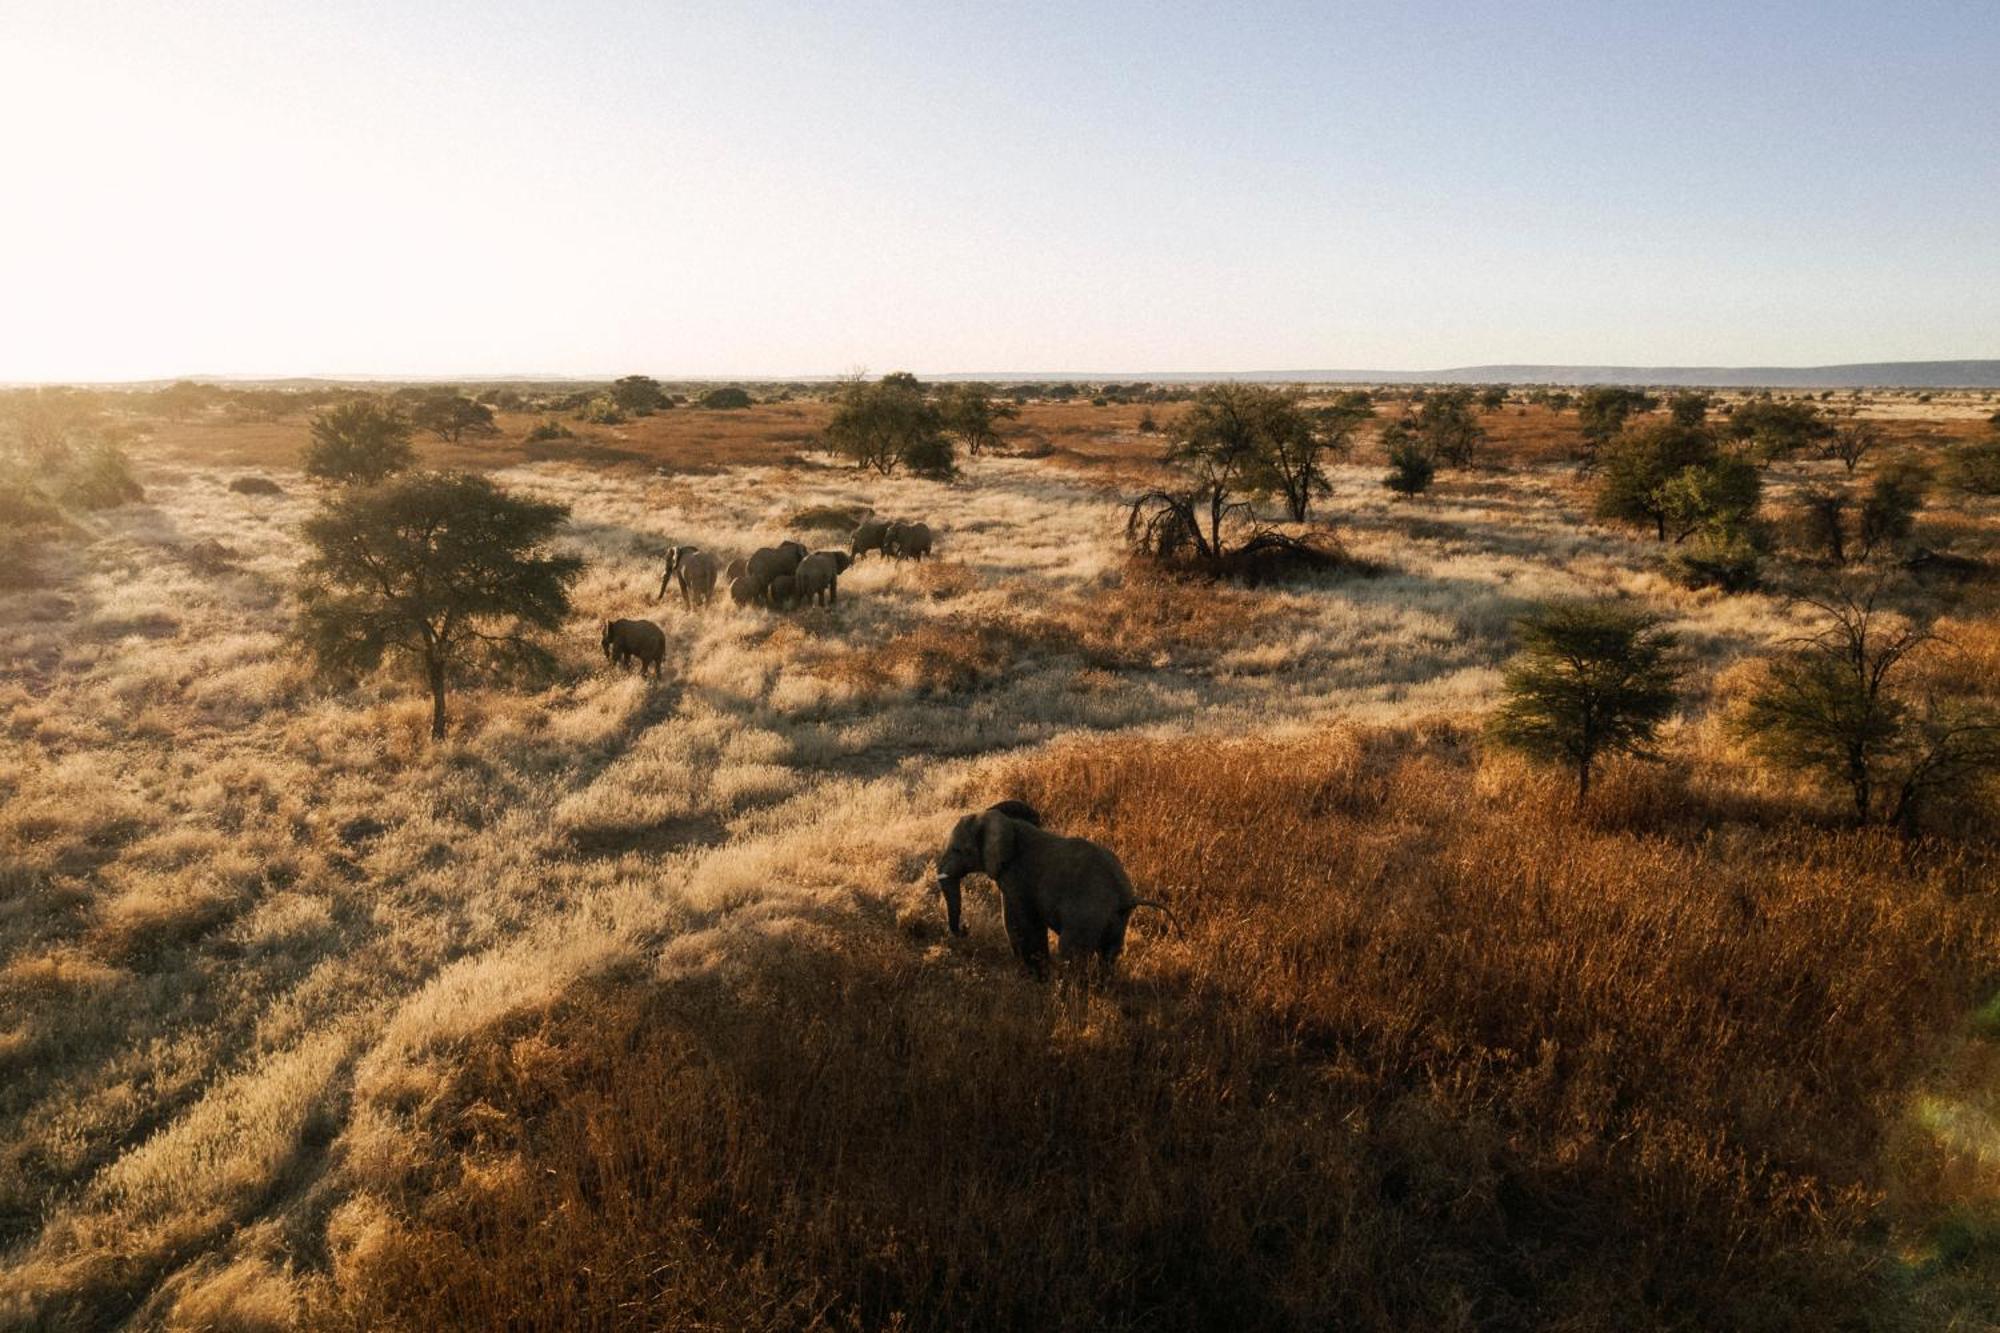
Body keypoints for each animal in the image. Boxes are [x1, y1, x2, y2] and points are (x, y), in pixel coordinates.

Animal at [932, 800, 1176, 976]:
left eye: (957, 850)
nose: (966, 928)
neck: (1007, 822)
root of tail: (1126, 897)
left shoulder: (1016, 877)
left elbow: (1020, 921)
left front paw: (1033, 973)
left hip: (1087, 915)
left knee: (1072, 952)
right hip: (1117, 919)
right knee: (1109, 953)